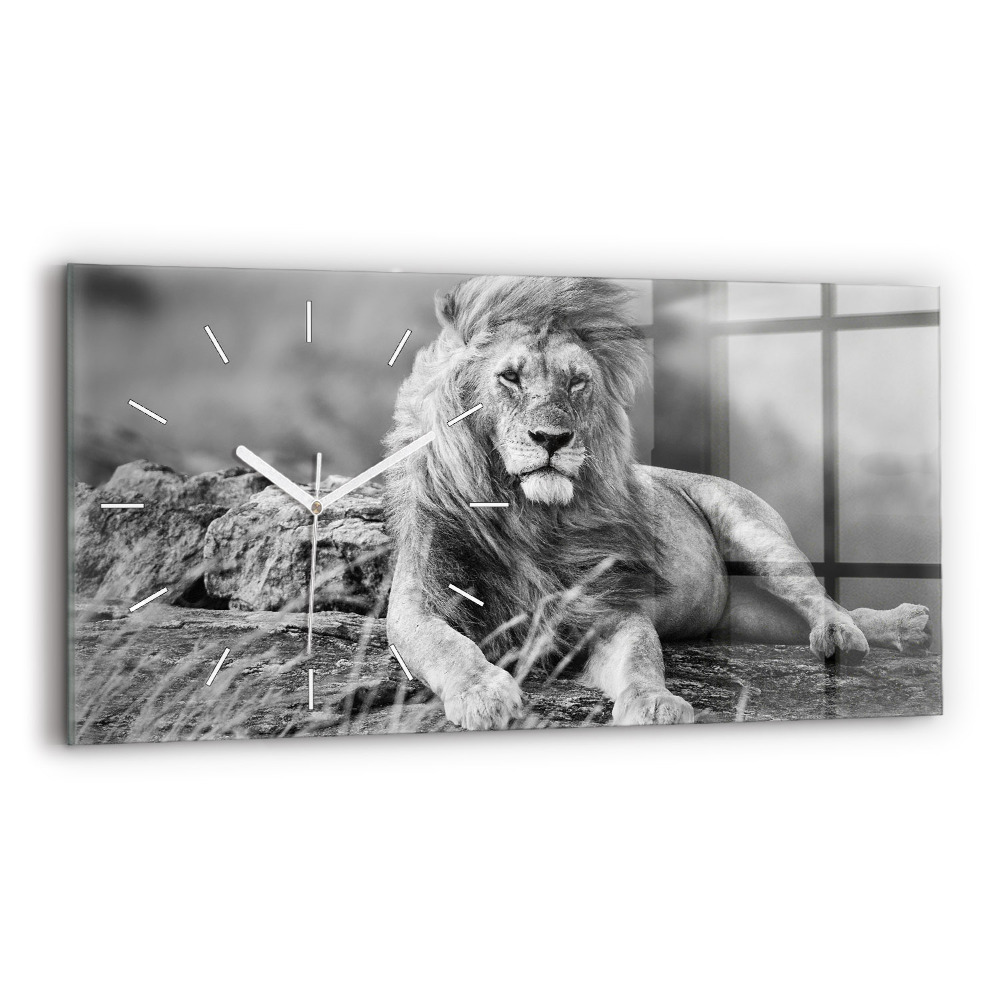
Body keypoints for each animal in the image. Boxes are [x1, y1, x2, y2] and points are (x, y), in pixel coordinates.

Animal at [383, 275, 932, 730]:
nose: (553, 439)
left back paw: (858, 632)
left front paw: (655, 703)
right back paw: (903, 628)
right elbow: (447, 645)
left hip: (757, 534)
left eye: (577, 381)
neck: (528, 515)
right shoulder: (418, 602)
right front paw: (484, 693)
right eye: (510, 377)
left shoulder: (610, 606)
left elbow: (643, 655)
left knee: (822, 600)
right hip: (744, 617)